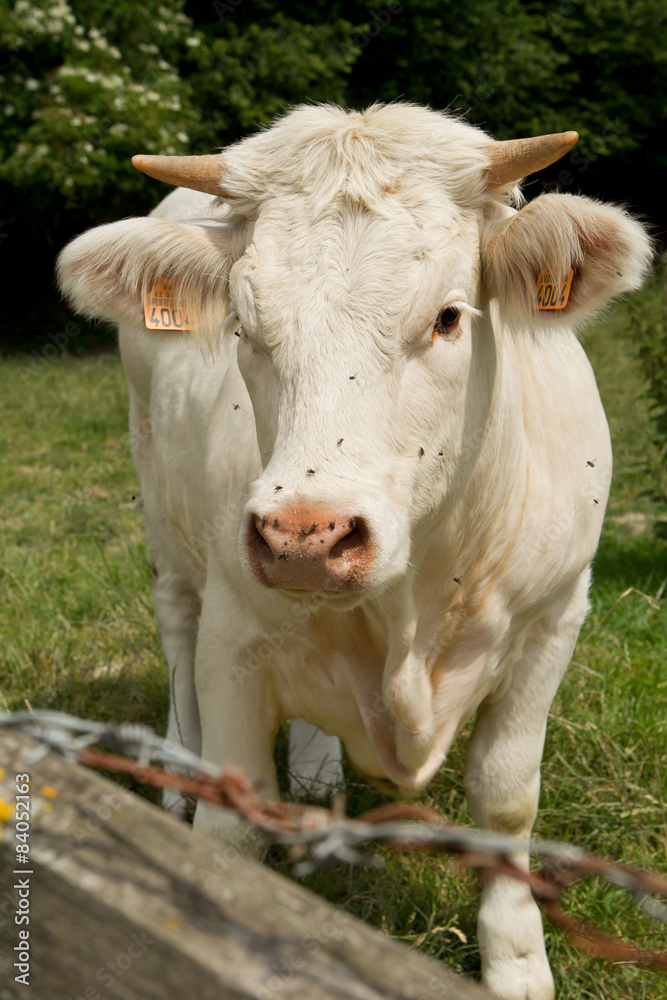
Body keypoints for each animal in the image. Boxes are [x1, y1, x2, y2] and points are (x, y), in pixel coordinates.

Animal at [57, 103, 652, 1000]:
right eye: (243, 327)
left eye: (448, 317)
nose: (305, 536)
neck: (411, 613)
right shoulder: (234, 634)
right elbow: (231, 827)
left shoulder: (554, 617)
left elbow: (507, 797)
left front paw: (517, 965)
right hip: (165, 519)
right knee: (175, 631)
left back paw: (315, 780)